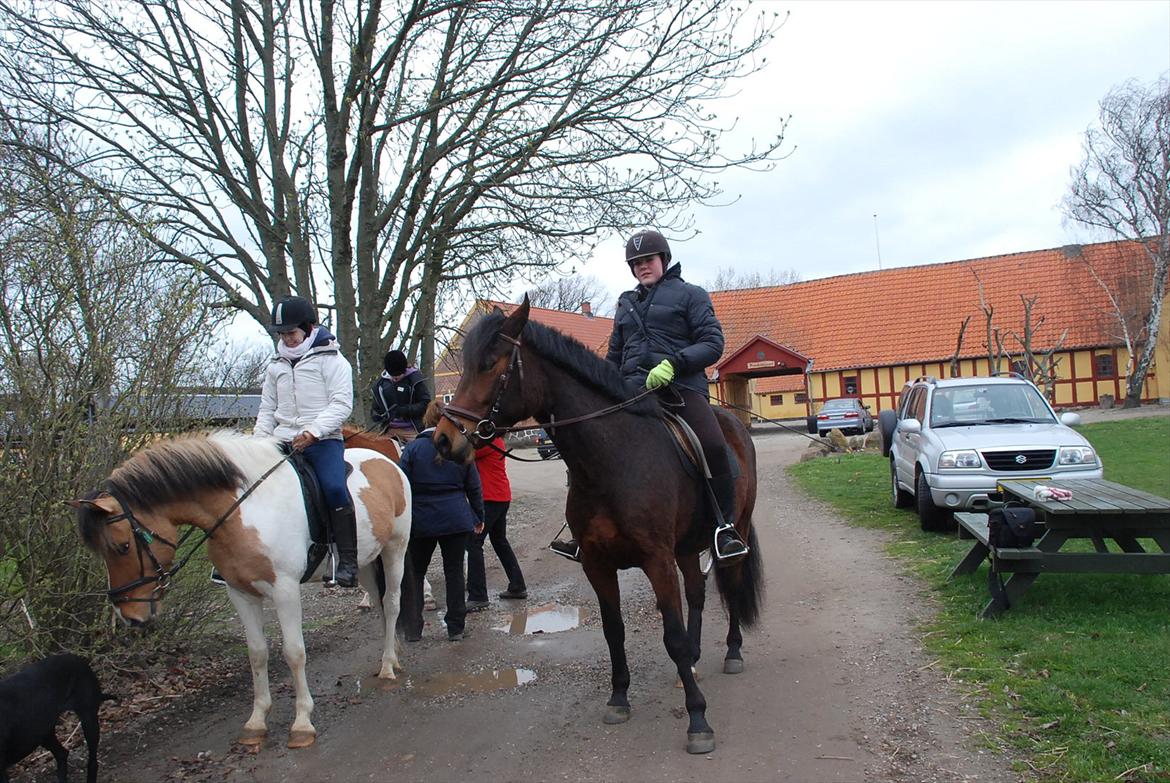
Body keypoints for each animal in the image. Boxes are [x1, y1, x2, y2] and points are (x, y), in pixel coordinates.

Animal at [70, 430, 411, 749]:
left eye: (123, 546)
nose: (129, 614)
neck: (244, 512)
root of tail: (388, 462)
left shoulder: (285, 591)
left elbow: (294, 652)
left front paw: (302, 723)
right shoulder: (240, 593)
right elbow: (257, 653)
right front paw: (256, 722)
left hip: (394, 550)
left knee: (393, 603)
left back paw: (387, 668)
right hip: (366, 562)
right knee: (380, 606)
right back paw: (392, 655)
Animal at [435, 297, 762, 749]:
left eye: (490, 364)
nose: (444, 439)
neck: (614, 459)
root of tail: (734, 424)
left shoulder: (657, 561)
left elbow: (672, 636)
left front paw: (698, 720)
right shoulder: (597, 564)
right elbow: (614, 631)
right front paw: (619, 698)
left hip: (734, 530)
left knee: (729, 582)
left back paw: (732, 651)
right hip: (685, 547)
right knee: (697, 592)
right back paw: (695, 663)